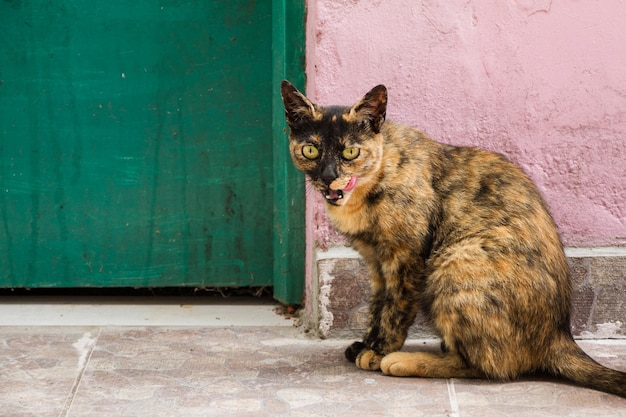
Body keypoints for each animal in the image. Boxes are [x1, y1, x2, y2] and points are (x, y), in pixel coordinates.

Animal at [282, 79, 624, 394]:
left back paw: (403, 360)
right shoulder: (376, 263)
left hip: (454, 263)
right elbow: (377, 306)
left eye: (350, 152)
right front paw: (366, 343)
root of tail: (558, 335)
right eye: (311, 150)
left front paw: (379, 351)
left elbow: (395, 309)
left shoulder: (405, 258)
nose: (328, 178)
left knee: (492, 366)